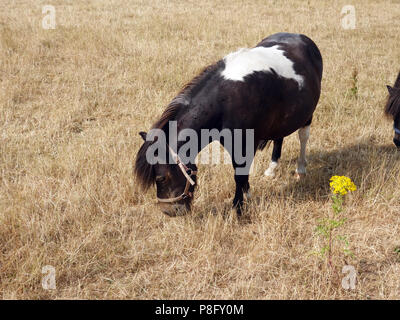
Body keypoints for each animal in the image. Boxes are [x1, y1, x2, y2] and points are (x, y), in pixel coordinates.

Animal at [134, 32, 322, 216]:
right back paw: (271, 169)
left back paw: (300, 169)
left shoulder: (247, 143)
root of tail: (301, 37)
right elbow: (241, 173)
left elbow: (239, 175)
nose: (169, 211)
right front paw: (247, 196)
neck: (226, 100)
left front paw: (238, 208)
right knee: (279, 138)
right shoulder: (233, 143)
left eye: (160, 178)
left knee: (303, 137)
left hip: (307, 115)